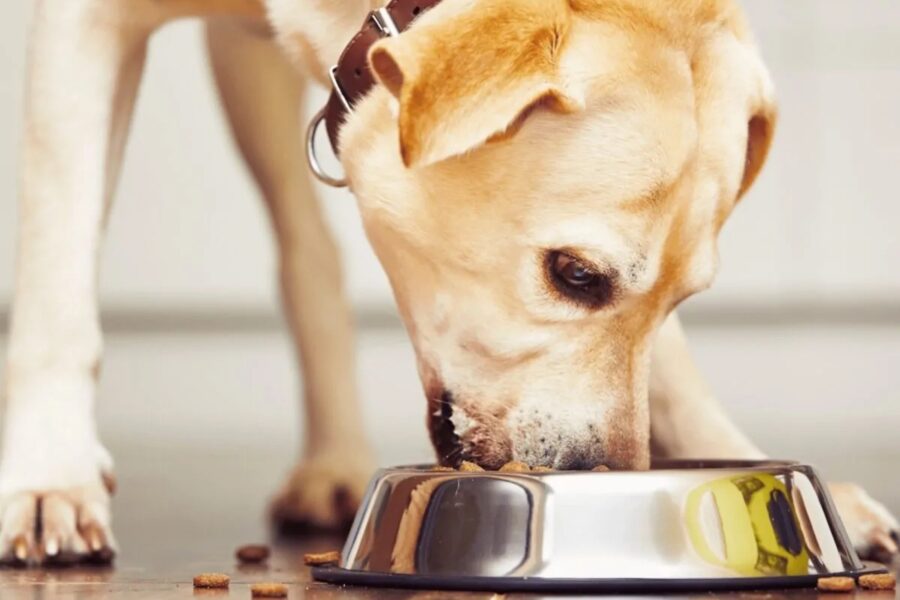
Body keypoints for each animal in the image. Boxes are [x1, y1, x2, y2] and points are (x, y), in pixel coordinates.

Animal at [0, 0, 896, 564]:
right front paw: (50, 475)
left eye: (683, 299)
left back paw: (331, 462)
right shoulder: (85, 25)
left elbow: (670, 368)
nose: (611, 477)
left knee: (309, 253)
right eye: (575, 274)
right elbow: (56, 277)